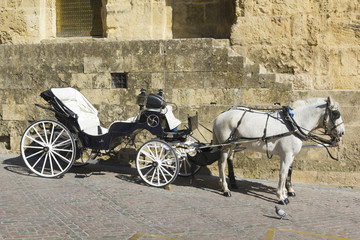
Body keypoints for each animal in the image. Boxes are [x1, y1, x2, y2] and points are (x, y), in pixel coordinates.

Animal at [212, 97, 344, 204]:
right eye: (336, 113)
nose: (342, 132)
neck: (292, 124)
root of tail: (220, 115)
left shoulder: (290, 156)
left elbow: (287, 173)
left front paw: (286, 192)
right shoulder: (286, 155)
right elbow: (282, 174)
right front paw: (281, 197)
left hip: (232, 144)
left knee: (224, 161)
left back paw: (223, 185)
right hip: (226, 146)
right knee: (221, 164)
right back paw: (226, 189)